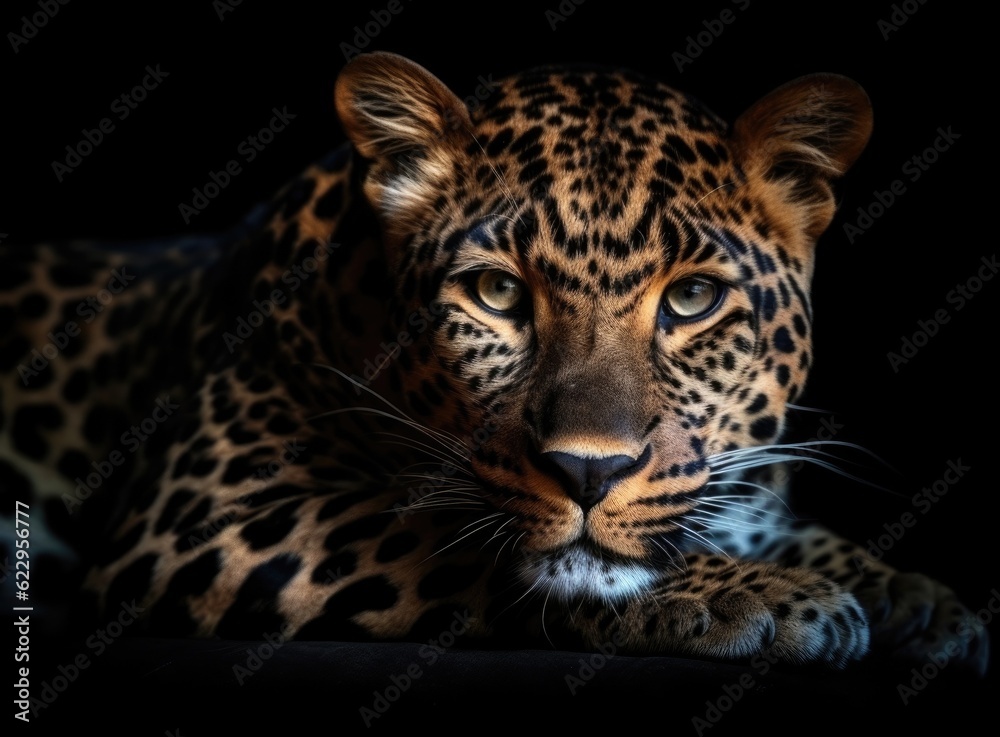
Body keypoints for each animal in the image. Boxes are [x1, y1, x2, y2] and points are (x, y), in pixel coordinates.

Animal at [0, 51, 988, 674]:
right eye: (497, 293)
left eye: (693, 300)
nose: (588, 472)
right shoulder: (199, 511)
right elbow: (449, 530)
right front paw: (765, 594)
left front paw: (912, 595)